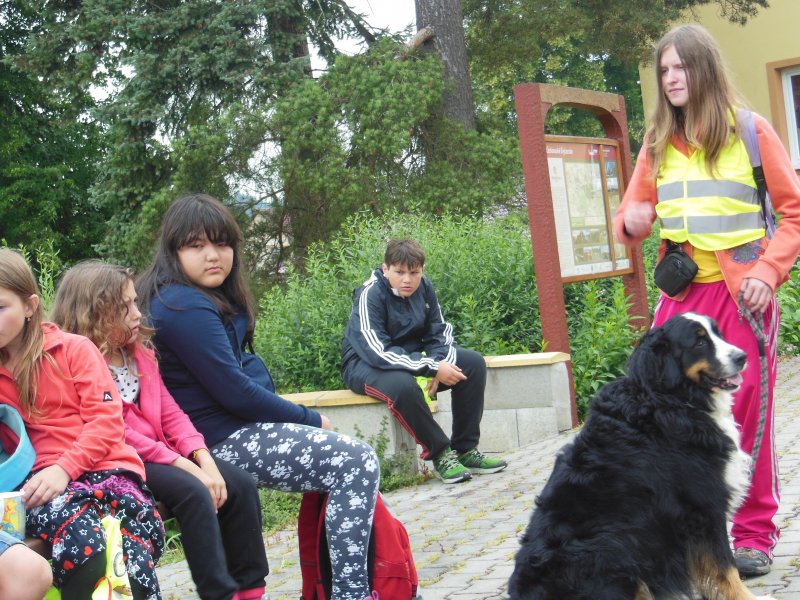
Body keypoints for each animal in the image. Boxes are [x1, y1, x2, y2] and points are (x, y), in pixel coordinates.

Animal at [508, 312, 774, 600]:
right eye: (699, 342)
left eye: (719, 334)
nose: (742, 356)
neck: (671, 399)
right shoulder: (704, 505)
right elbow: (725, 567)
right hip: (612, 544)